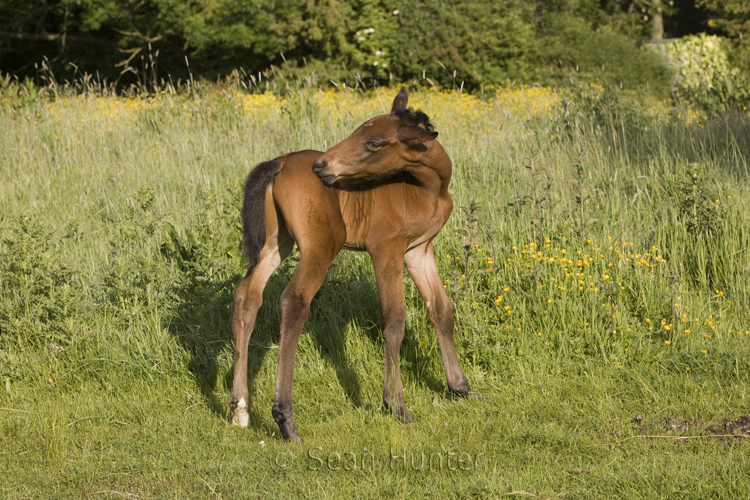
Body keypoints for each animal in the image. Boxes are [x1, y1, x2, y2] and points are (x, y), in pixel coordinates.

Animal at [229, 86, 478, 442]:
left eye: (373, 142)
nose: (322, 164)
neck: (426, 189)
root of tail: (280, 161)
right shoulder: (386, 249)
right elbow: (394, 320)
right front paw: (396, 405)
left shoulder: (419, 250)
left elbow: (441, 309)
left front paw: (461, 387)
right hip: (322, 245)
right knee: (293, 301)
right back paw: (285, 420)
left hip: (276, 243)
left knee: (247, 297)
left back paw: (240, 409)